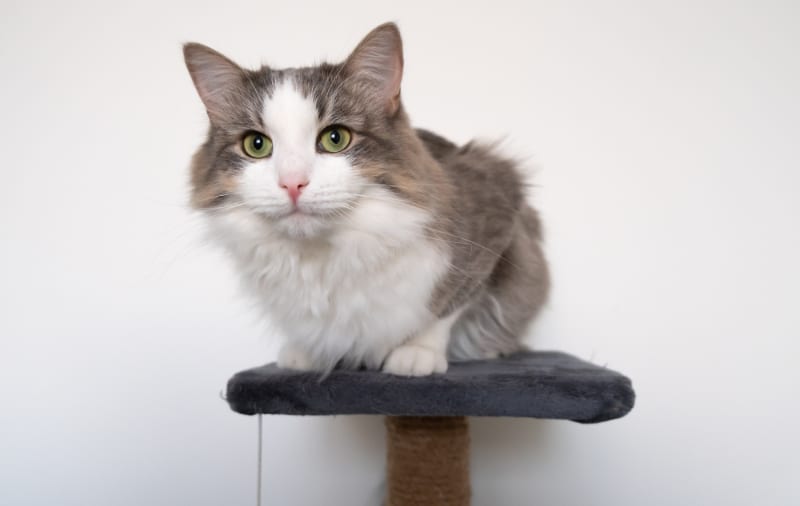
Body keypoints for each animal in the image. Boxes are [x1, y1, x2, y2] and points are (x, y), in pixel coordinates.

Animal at [183, 22, 552, 376]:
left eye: (335, 138)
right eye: (256, 145)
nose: (292, 183)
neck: (323, 256)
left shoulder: (495, 208)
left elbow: (446, 309)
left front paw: (416, 353)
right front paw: (307, 353)